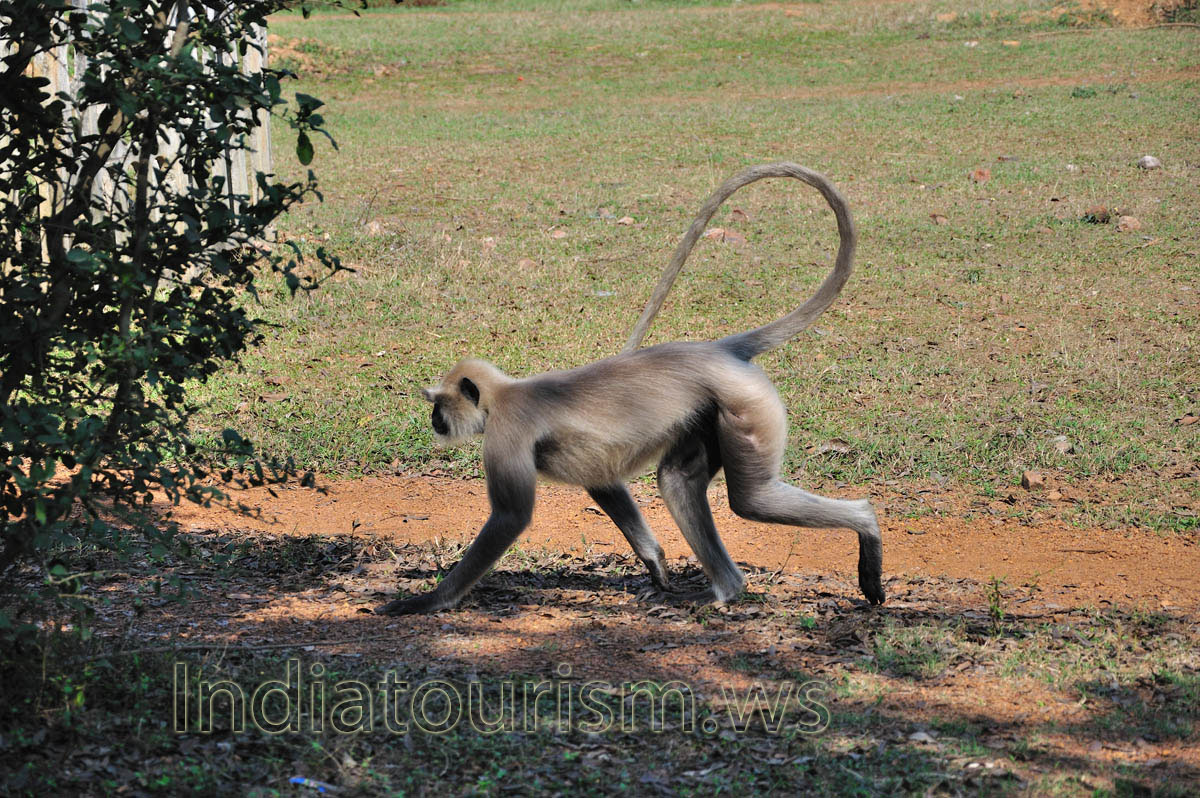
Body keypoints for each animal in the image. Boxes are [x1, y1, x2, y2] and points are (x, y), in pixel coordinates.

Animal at [377, 162, 884, 615]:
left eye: (440, 405)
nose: (434, 420)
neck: (504, 396)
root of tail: (717, 350)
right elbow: (604, 483)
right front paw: (656, 566)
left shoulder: (506, 433)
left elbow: (509, 519)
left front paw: (428, 601)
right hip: (711, 411)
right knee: (678, 482)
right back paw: (727, 589)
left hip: (746, 407)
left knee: (751, 500)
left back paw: (864, 526)